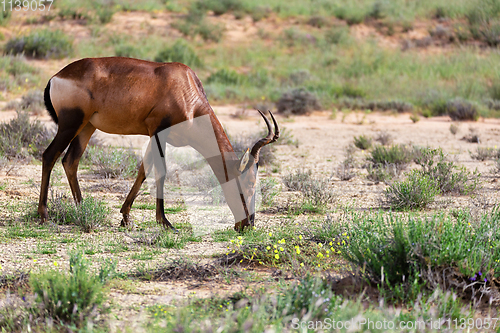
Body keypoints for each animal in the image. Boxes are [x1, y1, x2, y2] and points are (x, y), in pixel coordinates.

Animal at [38, 57, 282, 231]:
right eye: (249, 183)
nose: (247, 224)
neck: (185, 87)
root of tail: (57, 76)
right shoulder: (158, 132)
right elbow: (160, 171)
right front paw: (165, 222)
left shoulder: (153, 135)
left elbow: (143, 171)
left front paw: (126, 217)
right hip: (71, 124)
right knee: (49, 155)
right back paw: (43, 214)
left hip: (87, 127)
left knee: (70, 161)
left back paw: (82, 209)